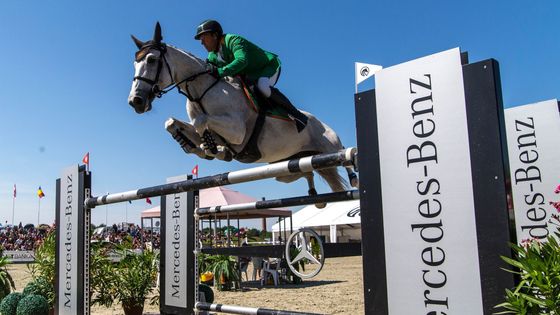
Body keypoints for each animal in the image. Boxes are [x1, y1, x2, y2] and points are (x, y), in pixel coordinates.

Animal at [127, 24, 356, 202]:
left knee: (345, 160)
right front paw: (199, 146)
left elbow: (202, 121)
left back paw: (350, 173)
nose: (135, 101)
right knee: (303, 172)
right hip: (287, 165)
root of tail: (324, 125)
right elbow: (171, 123)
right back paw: (315, 194)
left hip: (329, 148)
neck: (201, 91)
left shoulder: (237, 132)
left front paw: (210, 148)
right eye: (135, 63)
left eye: (151, 60)